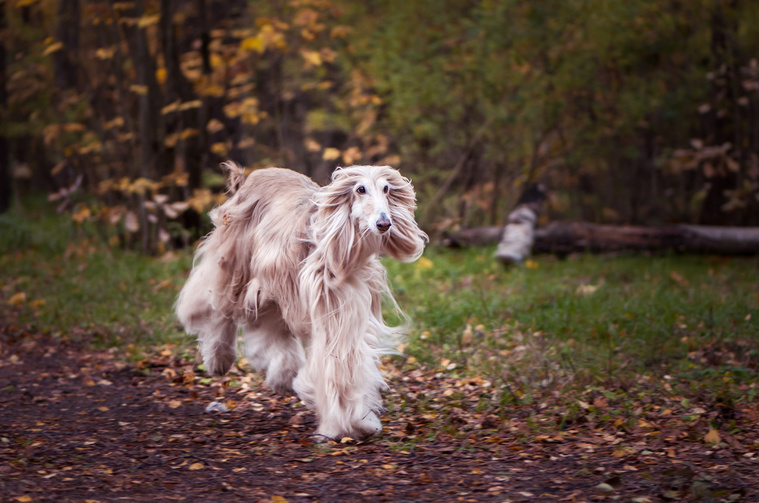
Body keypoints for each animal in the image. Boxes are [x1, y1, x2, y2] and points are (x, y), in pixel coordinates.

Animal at [177, 163, 428, 440]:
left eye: (386, 189)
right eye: (360, 189)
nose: (384, 223)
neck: (339, 245)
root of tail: (256, 175)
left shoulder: (343, 306)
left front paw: (355, 420)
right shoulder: (324, 302)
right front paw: (346, 422)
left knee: (268, 328)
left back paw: (282, 377)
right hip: (236, 260)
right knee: (213, 304)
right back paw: (218, 359)